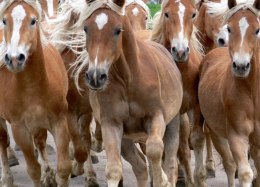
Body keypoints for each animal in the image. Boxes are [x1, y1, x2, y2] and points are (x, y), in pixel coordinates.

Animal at [0, 0, 71, 186]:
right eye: (4, 20)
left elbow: (64, 169)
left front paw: (51, 175)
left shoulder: (59, 122)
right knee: (2, 140)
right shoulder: (20, 130)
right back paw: (7, 178)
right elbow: (33, 170)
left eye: (33, 21)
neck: (33, 87)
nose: (14, 59)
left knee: (39, 141)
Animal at [69, 0, 183, 186]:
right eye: (86, 28)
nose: (95, 76)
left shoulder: (156, 117)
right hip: (126, 140)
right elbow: (114, 170)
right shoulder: (111, 124)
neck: (129, 80)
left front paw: (162, 180)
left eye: (117, 30)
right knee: (140, 167)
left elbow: (154, 151)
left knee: (171, 164)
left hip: (172, 125)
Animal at [149, 0, 208, 186]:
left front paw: (199, 178)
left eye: (194, 14)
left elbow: (196, 139)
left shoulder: (196, 107)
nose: (180, 51)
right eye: (167, 14)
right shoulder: (171, 115)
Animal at [199, 0, 260, 186]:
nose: (241, 66)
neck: (252, 94)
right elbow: (245, 173)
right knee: (230, 165)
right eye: (229, 28)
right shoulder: (237, 136)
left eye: (257, 30)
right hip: (216, 133)